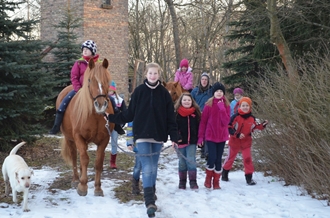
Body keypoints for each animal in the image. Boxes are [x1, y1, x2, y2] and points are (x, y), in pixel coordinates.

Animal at [56, 58, 114, 197]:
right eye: (90, 80)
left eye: (107, 80)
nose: (100, 104)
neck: (95, 115)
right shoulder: (78, 137)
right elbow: (84, 159)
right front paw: (82, 186)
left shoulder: (104, 139)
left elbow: (98, 162)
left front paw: (98, 188)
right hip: (70, 138)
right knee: (75, 156)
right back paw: (76, 179)